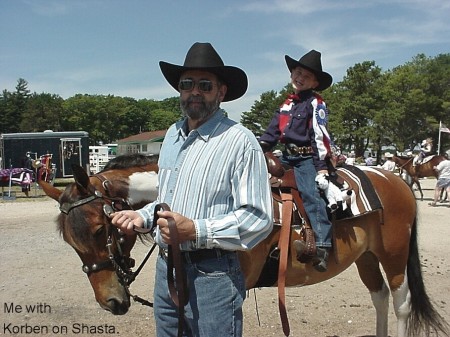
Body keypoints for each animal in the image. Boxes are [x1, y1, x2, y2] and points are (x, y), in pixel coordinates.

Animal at [39, 154, 450, 334]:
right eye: (70, 241)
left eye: (99, 230)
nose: (110, 301)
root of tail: (395, 178)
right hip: (366, 257)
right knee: (378, 297)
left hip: (393, 255)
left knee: (400, 303)